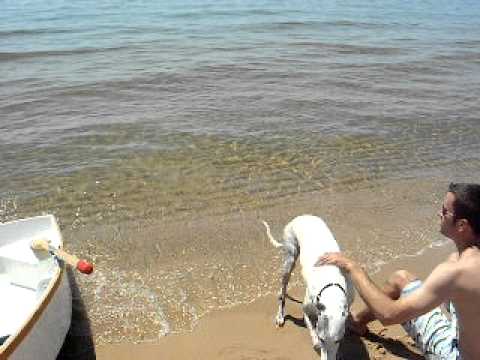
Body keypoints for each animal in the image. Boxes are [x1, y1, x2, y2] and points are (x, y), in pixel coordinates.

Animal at [262, 215, 352, 358]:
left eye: (338, 340)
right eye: (322, 339)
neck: (331, 287)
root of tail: (300, 217)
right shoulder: (306, 311)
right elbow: (312, 330)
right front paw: (316, 343)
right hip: (289, 258)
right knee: (283, 289)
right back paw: (280, 315)